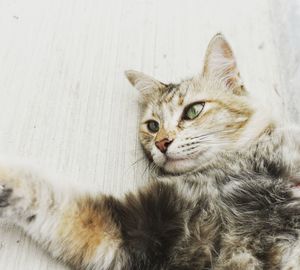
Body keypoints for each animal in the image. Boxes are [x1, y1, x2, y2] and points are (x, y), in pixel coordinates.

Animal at [0, 33, 300, 270]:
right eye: (152, 126)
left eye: (193, 110)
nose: (161, 143)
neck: (240, 164)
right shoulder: (132, 229)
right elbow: (42, 192)